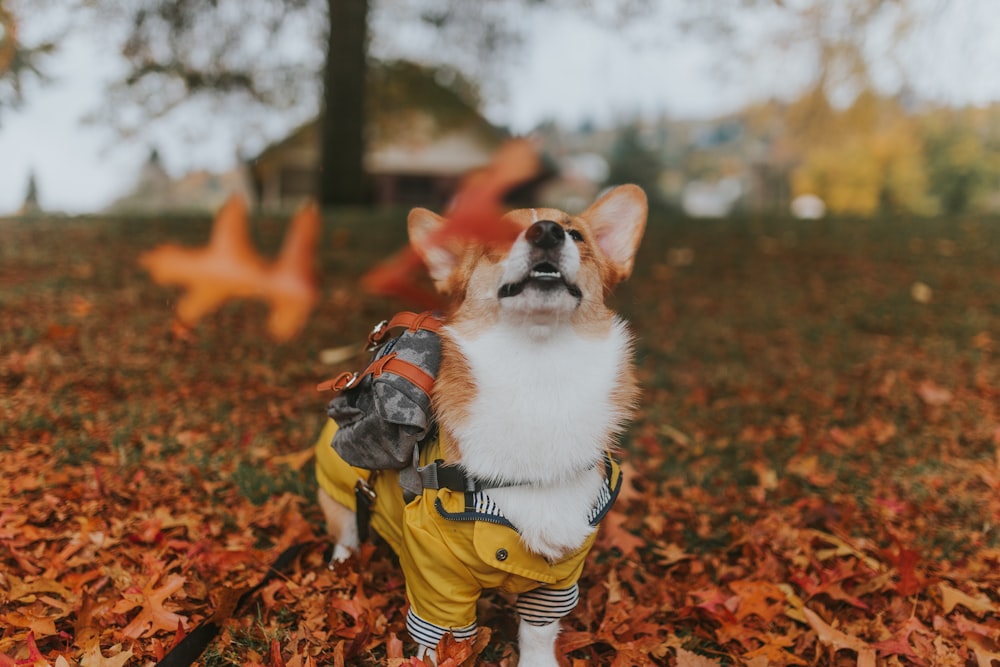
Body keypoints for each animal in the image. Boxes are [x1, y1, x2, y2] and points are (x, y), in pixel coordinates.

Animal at [316, 185, 652, 664]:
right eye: (498, 235)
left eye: (576, 235)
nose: (547, 232)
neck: (538, 375)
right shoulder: (436, 576)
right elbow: (441, 643)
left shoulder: (559, 573)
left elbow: (538, 633)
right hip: (340, 493)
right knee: (346, 532)